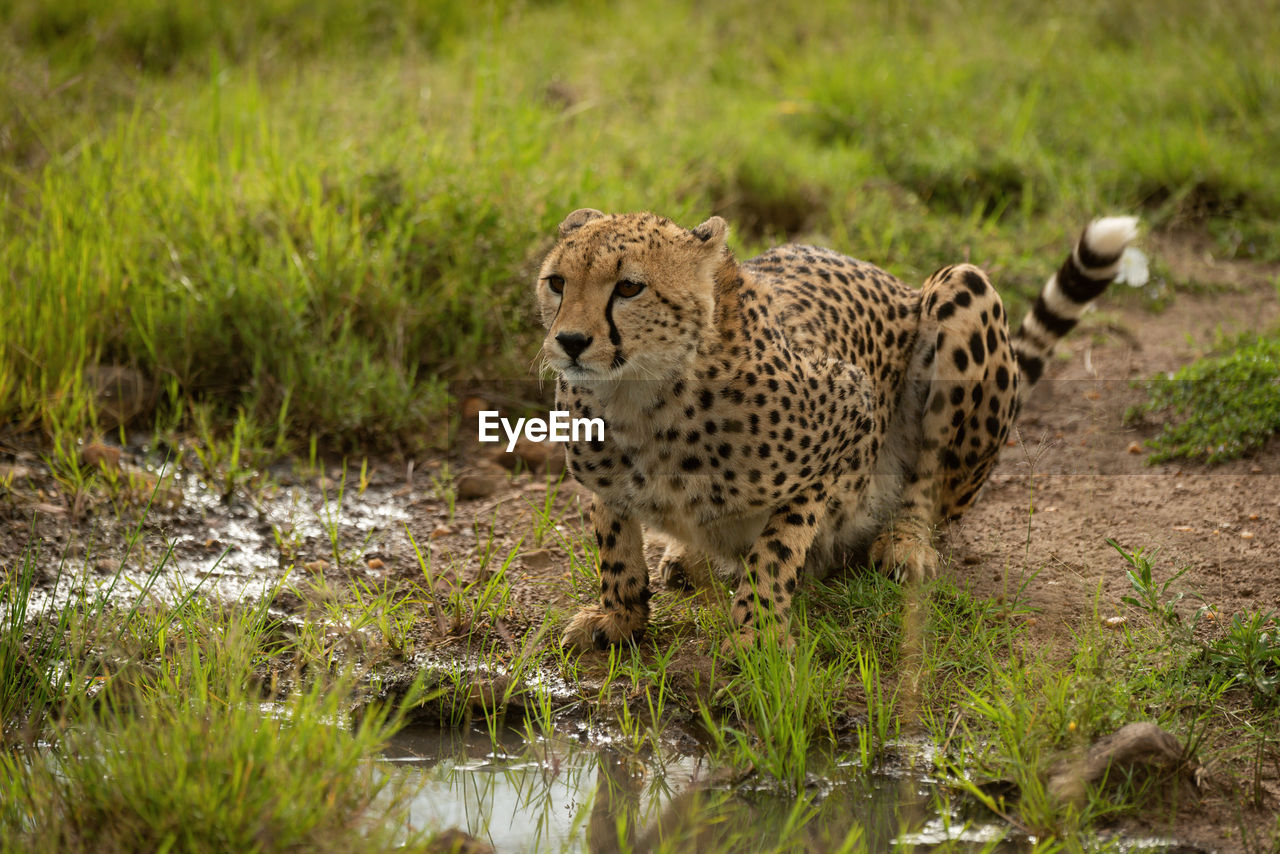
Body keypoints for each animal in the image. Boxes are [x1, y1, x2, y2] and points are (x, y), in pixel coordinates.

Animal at [537, 209, 1141, 650]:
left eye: (629, 288)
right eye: (557, 283)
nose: (569, 341)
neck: (640, 397)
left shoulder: (852, 414)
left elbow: (776, 549)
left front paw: (756, 633)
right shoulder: (601, 473)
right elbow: (614, 541)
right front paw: (617, 617)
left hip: (962, 289)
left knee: (931, 482)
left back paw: (904, 543)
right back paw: (686, 555)